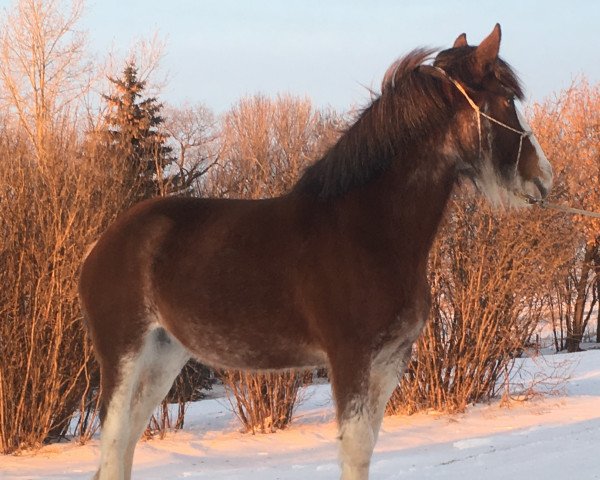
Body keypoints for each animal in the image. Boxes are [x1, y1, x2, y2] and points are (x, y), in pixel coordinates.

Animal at [79, 25, 552, 480]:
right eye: (507, 99)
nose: (543, 177)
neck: (369, 231)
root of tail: (100, 245)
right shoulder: (349, 359)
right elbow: (354, 451)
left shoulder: (389, 362)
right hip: (124, 357)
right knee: (113, 443)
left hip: (164, 356)